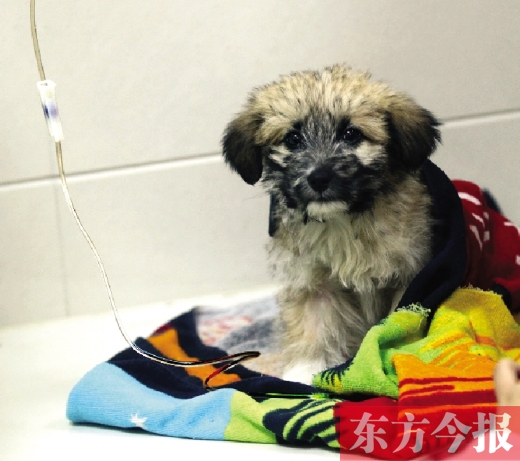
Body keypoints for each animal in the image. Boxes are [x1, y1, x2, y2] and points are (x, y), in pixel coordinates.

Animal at [222, 65, 441, 385]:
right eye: (293, 139)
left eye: (351, 134)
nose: (319, 177)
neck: (343, 221)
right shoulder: (314, 281)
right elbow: (314, 323)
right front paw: (305, 368)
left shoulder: (409, 276)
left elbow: (399, 323)